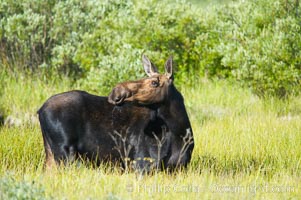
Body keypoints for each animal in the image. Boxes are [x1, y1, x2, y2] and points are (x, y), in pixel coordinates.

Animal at [37, 55, 193, 172]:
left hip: (51, 153)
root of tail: (40, 110)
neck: (178, 131)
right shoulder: (140, 163)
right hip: (65, 152)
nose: (116, 92)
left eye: (154, 82)